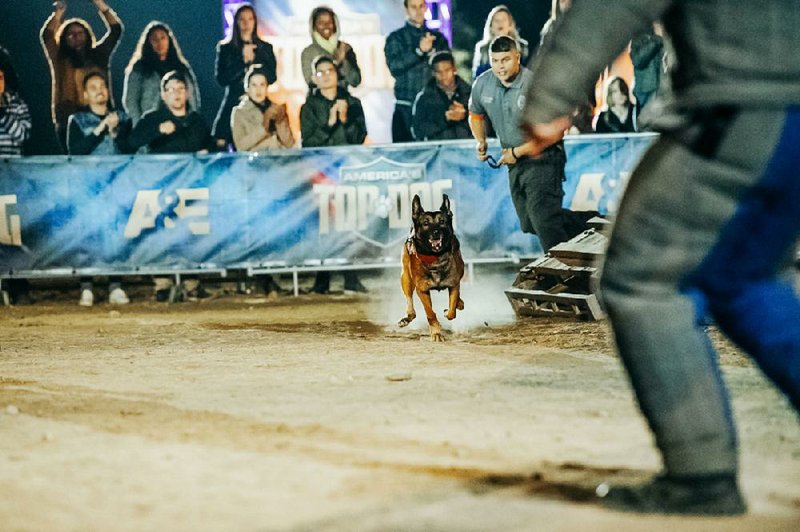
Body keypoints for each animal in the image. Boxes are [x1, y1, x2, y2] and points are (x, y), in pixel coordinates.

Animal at [398, 194, 466, 340]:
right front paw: (436, 332)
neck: (435, 259)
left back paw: (460, 303)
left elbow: (452, 311)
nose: (436, 232)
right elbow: (430, 313)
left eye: (442, 222)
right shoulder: (422, 290)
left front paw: (448, 311)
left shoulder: (453, 284)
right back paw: (406, 318)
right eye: (425, 223)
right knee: (410, 305)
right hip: (405, 278)